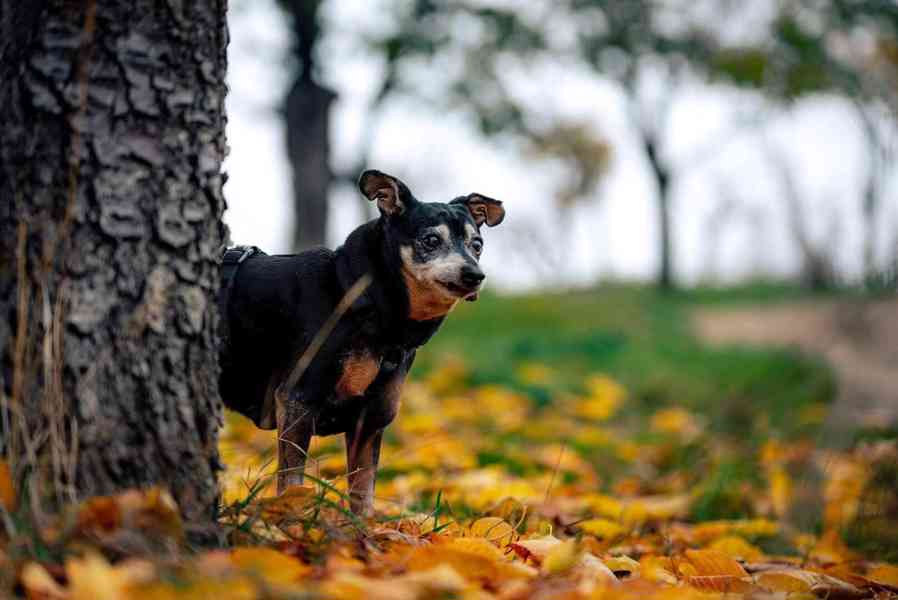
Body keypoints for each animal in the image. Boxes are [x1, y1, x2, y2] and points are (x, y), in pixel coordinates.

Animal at [214, 170, 500, 516]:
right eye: (431, 240)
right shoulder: (297, 401)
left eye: (477, 245)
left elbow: (363, 495)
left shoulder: (371, 419)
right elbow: (292, 484)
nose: (475, 275)